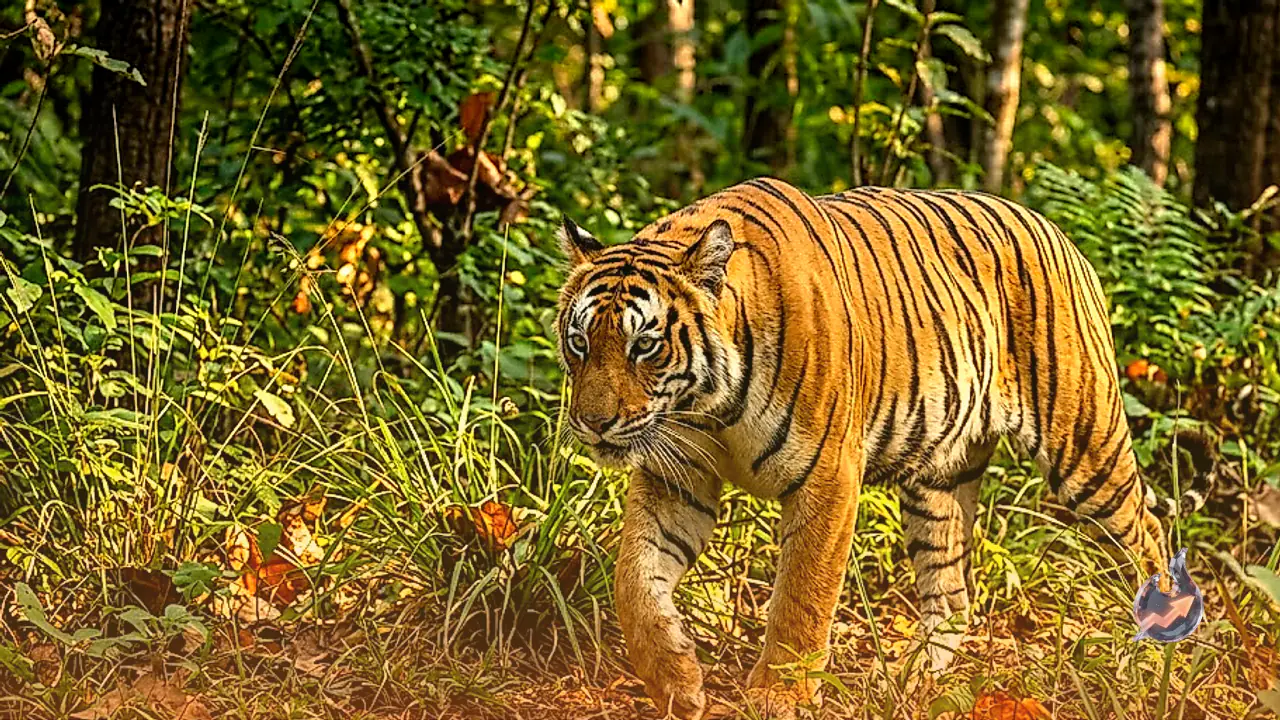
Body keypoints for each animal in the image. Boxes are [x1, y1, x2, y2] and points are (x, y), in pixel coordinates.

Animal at [555, 177, 1179, 719]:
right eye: (579, 341)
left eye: (644, 346)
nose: (593, 423)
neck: (708, 404)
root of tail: (1057, 231)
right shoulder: (677, 477)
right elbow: (634, 580)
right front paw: (675, 679)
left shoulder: (829, 475)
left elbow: (802, 594)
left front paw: (779, 695)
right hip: (939, 479)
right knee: (952, 595)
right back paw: (908, 677)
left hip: (1085, 445)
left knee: (1147, 536)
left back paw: (1152, 650)